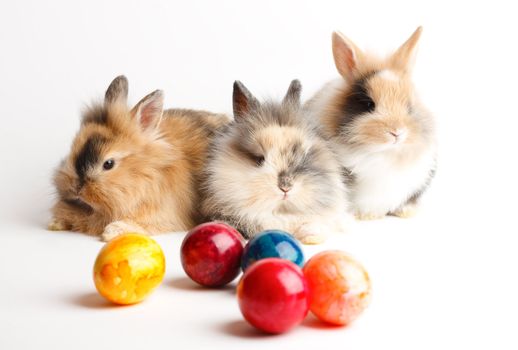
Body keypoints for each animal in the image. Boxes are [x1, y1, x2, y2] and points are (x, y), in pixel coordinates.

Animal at [48, 76, 232, 241]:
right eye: (73, 149)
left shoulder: (161, 215)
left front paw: (112, 231)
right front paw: (55, 223)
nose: (77, 188)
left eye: (108, 164)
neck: (145, 171)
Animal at [306, 27, 436, 220]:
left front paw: (406, 212)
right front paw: (366, 216)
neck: (382, 154)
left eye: (409, 106)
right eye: (368, 105)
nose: (397, 132)